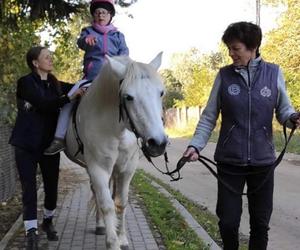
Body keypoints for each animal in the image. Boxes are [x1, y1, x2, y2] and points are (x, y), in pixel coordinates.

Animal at [64, 53, 168, 250]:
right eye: (128, 97)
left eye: (161, 92)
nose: (158, 143)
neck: (115, 129)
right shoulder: (98, 169)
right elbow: (107, 205)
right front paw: (112, 242)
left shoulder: (126, 170)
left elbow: (121, 203)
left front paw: (123, 239)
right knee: (97, 194)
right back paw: (100, 225)